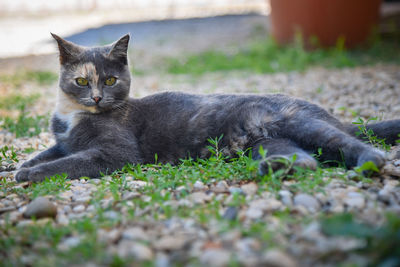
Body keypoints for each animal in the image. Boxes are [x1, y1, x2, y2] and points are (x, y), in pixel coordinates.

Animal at [15, 34, 400, 183]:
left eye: (110, 81)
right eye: (82, 81)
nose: (96, 98)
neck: (73, 114)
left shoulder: (118, 152)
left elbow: (72, 160)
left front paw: (31, 174)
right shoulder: (64, 139)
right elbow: (52, 150)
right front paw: (21, 166)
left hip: (301, 123)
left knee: (347, 143)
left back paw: (369, 162)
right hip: (266, 141)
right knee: (305, 160)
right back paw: (274, 169)